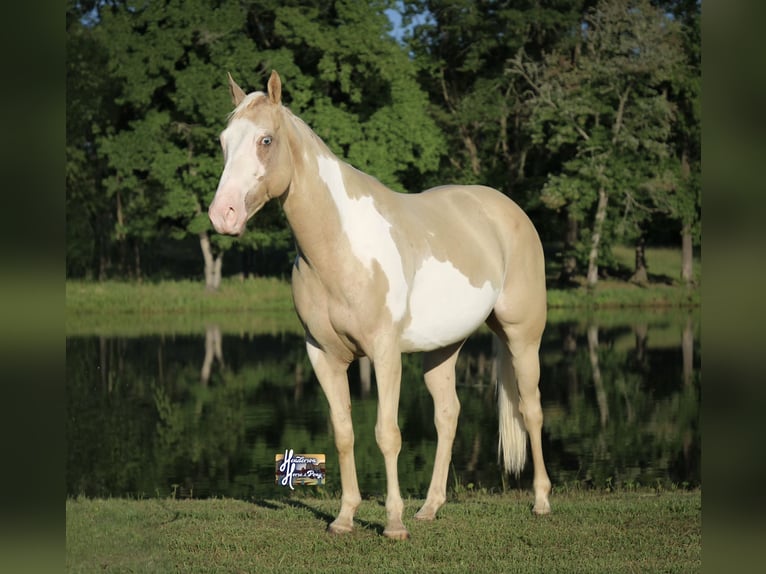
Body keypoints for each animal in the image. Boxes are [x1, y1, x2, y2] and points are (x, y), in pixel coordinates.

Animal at [208, 71, 551, 539]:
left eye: (265, 140)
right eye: (224, 141)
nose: (222, 215)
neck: (340, 248)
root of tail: (508, 210)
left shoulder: (385, 353)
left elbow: (387, 433)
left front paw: (393, 523)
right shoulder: (323, 355)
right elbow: (343, 433)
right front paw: (344, 518)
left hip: (522, 337)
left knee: (531, 411)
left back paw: (541, 502)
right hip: (444, 347)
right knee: (448, 415)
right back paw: (429, 508)